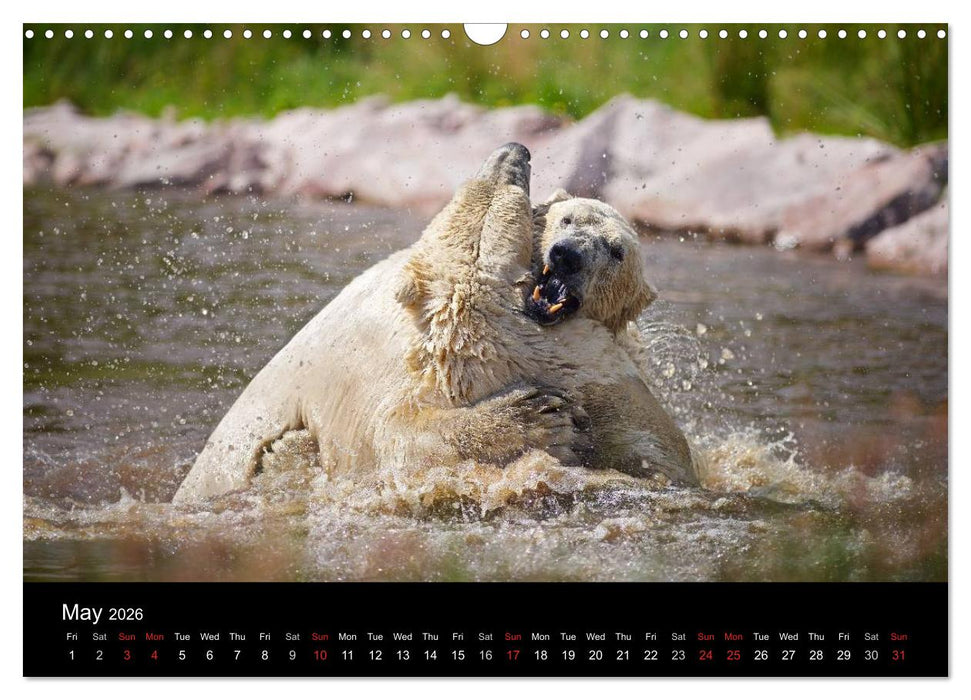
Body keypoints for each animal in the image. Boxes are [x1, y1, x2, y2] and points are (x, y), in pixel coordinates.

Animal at [173, 143, 695, 504]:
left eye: (616, 250)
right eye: (564, 219)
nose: (516, 150)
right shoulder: (382, 376)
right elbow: (396, 441)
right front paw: (536, 417)